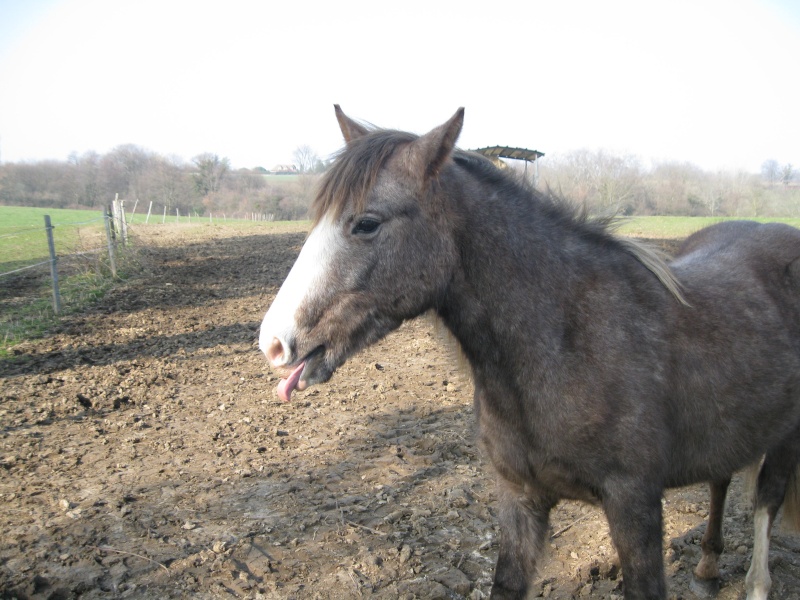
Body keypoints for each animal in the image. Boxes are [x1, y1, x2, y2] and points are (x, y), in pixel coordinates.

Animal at [258, 108, 800, 600]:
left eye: (366, 223)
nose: (273, 343)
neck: (566, 346)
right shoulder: (520, 500)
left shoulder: (636, 505)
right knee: (721, 481)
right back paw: (707, 567)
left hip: (784, 439)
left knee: (765, 506)